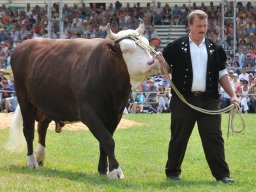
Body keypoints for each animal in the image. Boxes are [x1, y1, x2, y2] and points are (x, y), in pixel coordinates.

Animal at [7, 19, 160, 178]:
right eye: (125, 50)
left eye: (147, 43)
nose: (153, 61)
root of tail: (25, 44)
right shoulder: (88, 113)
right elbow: (108, 141)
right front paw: (115, 171)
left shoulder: (115, 115)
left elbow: (104, 141)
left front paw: (103, 169)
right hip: (24, 99)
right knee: (28, 130)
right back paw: (31, 161)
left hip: (47, 103)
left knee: (41, 127)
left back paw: (40, 157)